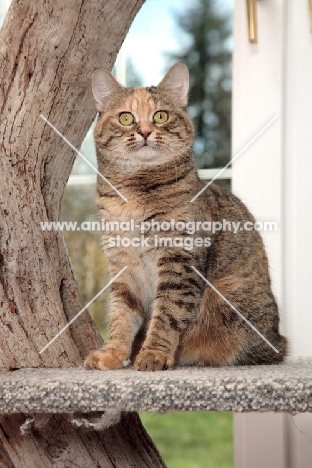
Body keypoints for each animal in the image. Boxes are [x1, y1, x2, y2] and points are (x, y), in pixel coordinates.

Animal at [83, 62, 288, 372]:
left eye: (161, 115)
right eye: (126, 117)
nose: (145, 131)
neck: (134, 194)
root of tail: (280, 339)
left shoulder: (179, 260)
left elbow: (167, 314)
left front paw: (154, 354)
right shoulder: (122, 265)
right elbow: (121, 314)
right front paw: (113, 353)